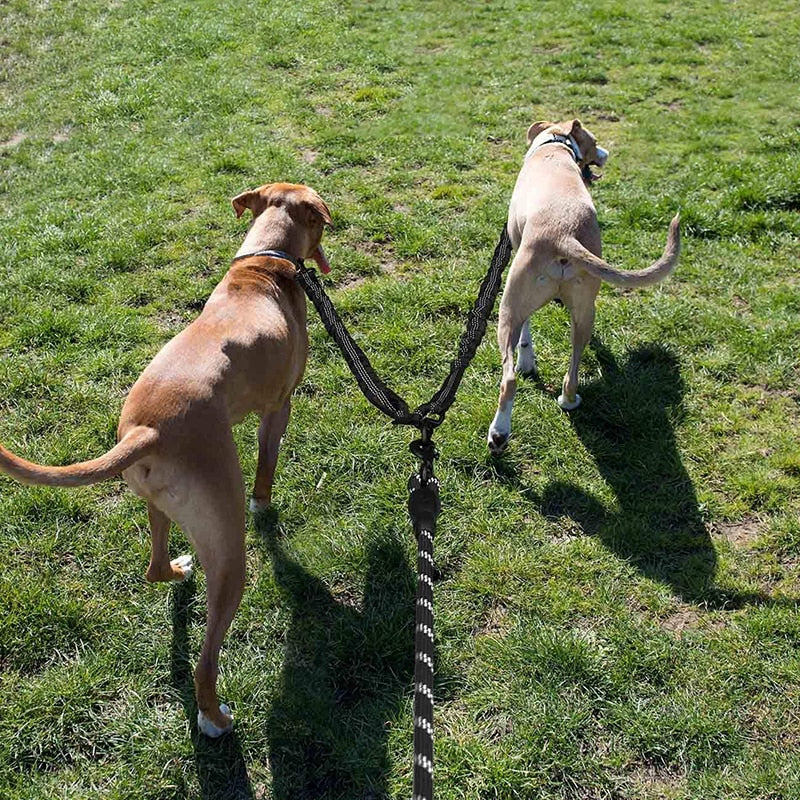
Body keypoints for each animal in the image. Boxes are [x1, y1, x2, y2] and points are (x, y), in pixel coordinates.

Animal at [0, 181, 332, 736]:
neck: (264, 262)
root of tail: (147, 431)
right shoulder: (278, 407)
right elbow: (267, 465)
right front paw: (266, 505)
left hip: (158, 503)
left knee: (154, 568)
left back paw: (178, 571)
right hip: (228, 546)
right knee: (204, 660)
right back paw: (214, 717)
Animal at [488, 121, 680, 454]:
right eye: (595, 141)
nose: (607, 153)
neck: (555, 145)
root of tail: (564, 235)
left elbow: (525, 333)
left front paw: (527, 360)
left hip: (506, 309)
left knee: (508, 379)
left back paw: (499, 434)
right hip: (585, 312)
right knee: (573, 371)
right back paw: (568, 401)